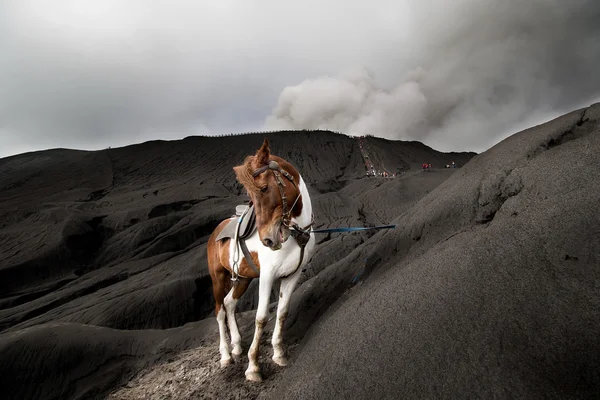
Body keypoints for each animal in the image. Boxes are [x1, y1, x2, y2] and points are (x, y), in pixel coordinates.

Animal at [207, 139, 316, 382]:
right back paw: (225, 355)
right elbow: (261, 317)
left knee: (229, 303)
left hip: (243, 279)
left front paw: (278, 353)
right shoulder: (267, 275)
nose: (268, 239)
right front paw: (253, 367)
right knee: (219, 310)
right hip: (218, 278)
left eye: (264, 188)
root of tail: (217, 230)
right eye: (251, 194)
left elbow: (282, 312)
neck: (295, 234)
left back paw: (237, 346)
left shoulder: (292, 275)